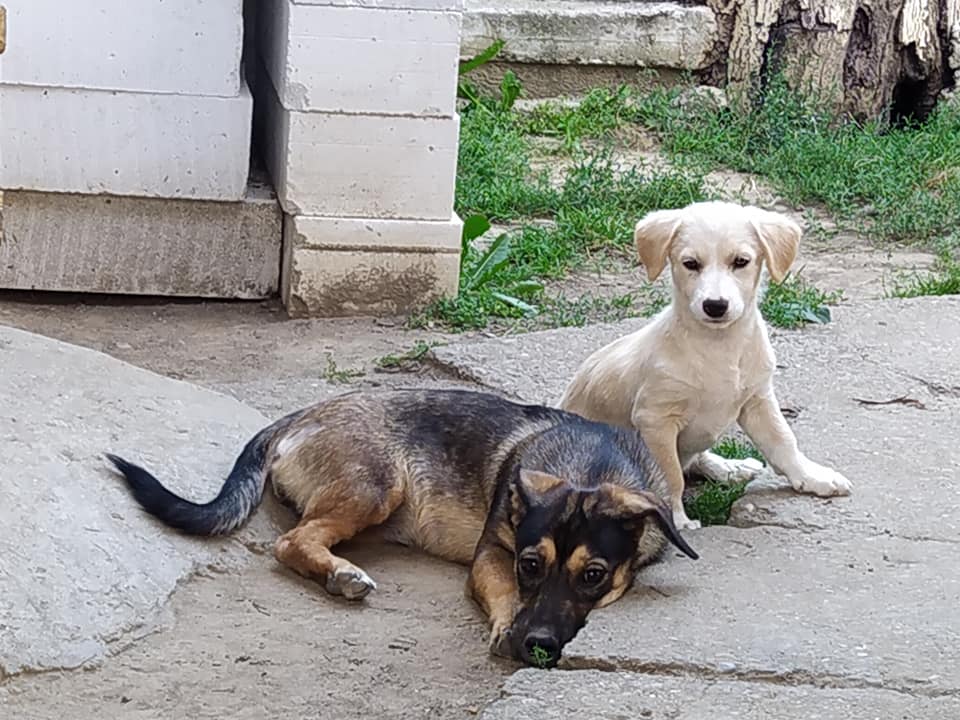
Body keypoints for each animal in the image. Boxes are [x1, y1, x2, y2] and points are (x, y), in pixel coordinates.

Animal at [107, 390, 696, 668]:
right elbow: (504, 590)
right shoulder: (490, 556)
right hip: (376, 487)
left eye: (593, 575)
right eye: (530, 565)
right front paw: (506, 624)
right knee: (291, 540)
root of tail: (297, 417)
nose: (535, 646)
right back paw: (341, 575)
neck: (591, 467)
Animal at [560, 201, 852, 528]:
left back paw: (731, 468)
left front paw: (811, 476)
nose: (715, 306)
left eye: (741, 261)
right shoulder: (656, 419)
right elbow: (671, 476)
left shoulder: (757, 400)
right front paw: (677, 519)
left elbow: (782, 440)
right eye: (690, 264)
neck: (719, 347)